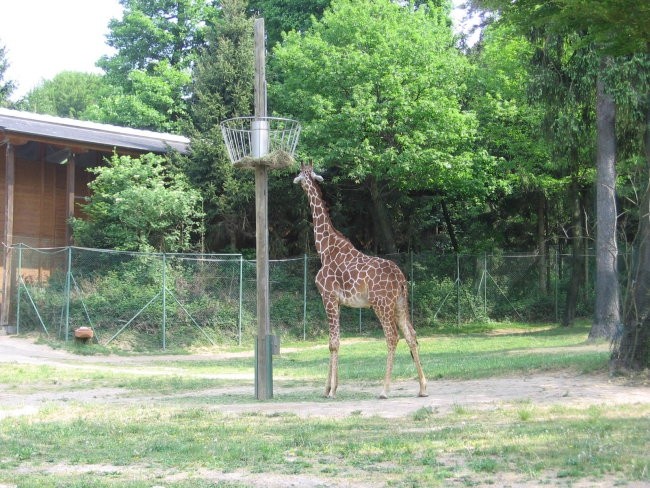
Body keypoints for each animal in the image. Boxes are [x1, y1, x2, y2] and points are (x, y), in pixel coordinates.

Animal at [292, 164, 426, 400]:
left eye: (300, 173)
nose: (294, 180)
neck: (325, 249)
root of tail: (401, 279)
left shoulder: (327, 297)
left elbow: (333, 343)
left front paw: (331, 391)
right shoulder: (337, 302)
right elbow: (334, 341)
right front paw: (328, 388)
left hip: (381, 305)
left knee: (392, 337)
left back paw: (384, 390)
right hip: (400, 303)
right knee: (411, 335)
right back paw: (422, 388)